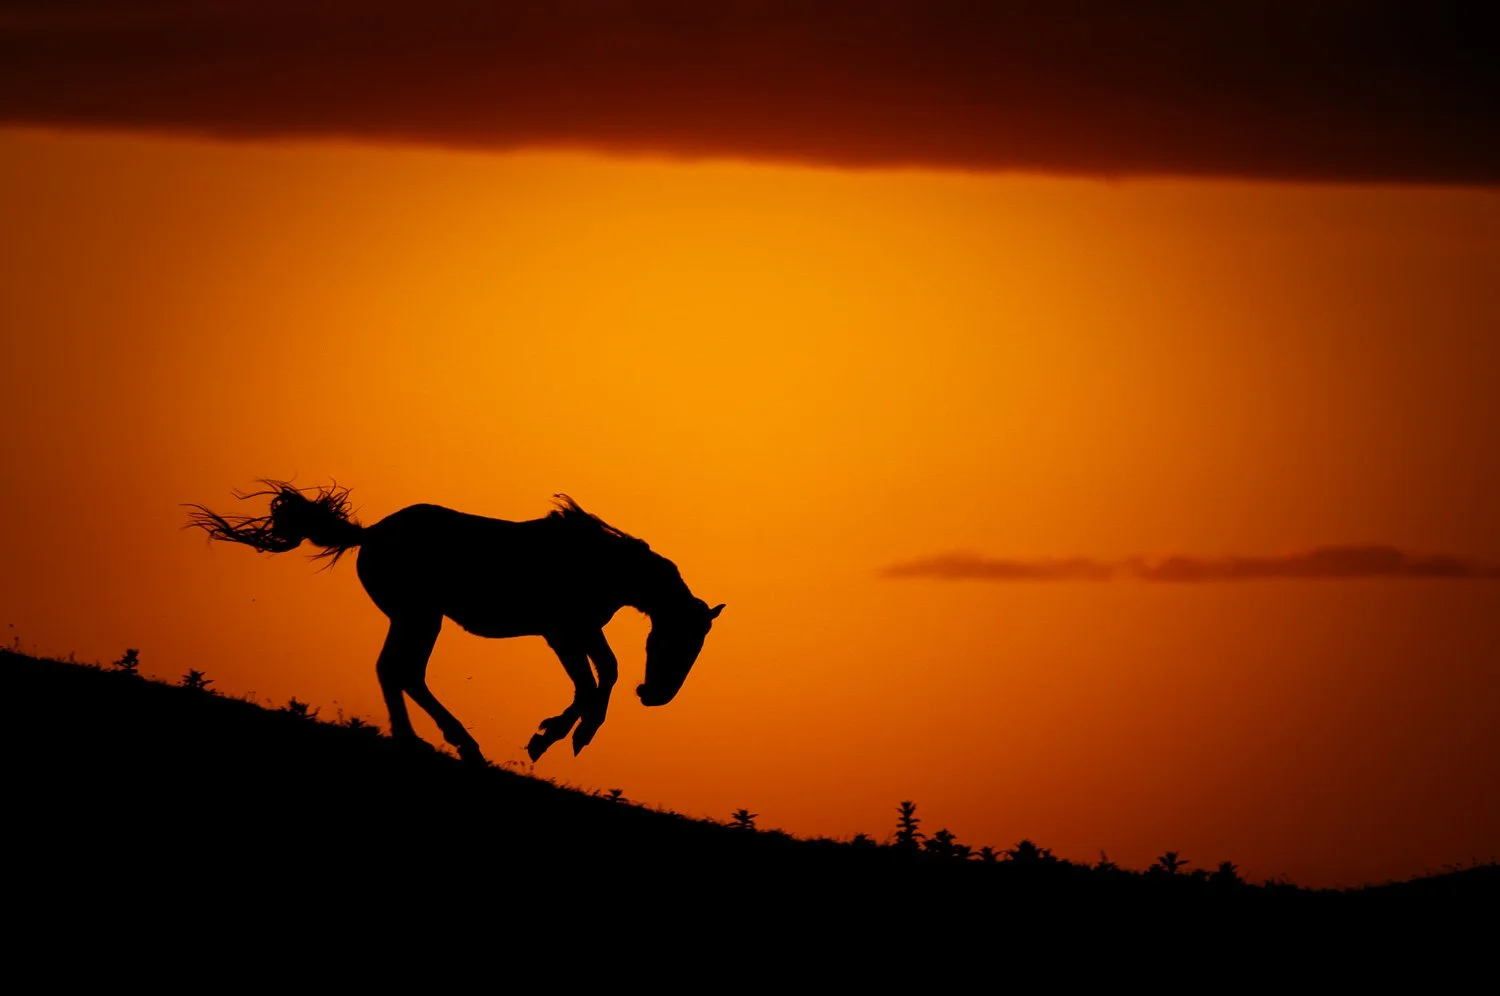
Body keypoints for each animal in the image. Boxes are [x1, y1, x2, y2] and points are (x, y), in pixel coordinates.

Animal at [187, 482, 724, 764]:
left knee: (398, 672)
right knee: (400, 671)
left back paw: (439, 741)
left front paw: (563, 734)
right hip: (420, 615)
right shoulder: (563, 632)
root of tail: (369, 534)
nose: (656, 696)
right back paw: (443, 742)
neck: (604, 564)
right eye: (677, 641)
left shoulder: (579, 630)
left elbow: (603, 675)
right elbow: (593, 682)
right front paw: (553, 737)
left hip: (417, 616)